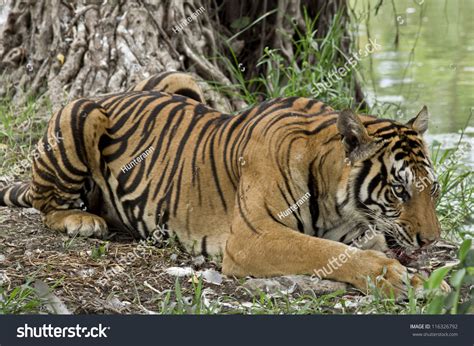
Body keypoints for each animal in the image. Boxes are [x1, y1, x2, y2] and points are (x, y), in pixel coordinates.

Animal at [0, 71, 444, 298]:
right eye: (399, 190)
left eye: (433, 190)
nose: (432, 241)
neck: (338, 203)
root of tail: (112, 92)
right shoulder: (254, 236)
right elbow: (329, 252)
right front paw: (391, 277)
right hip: (81, 113)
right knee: (44, 202)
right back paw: (81, 220)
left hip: (179, 78)